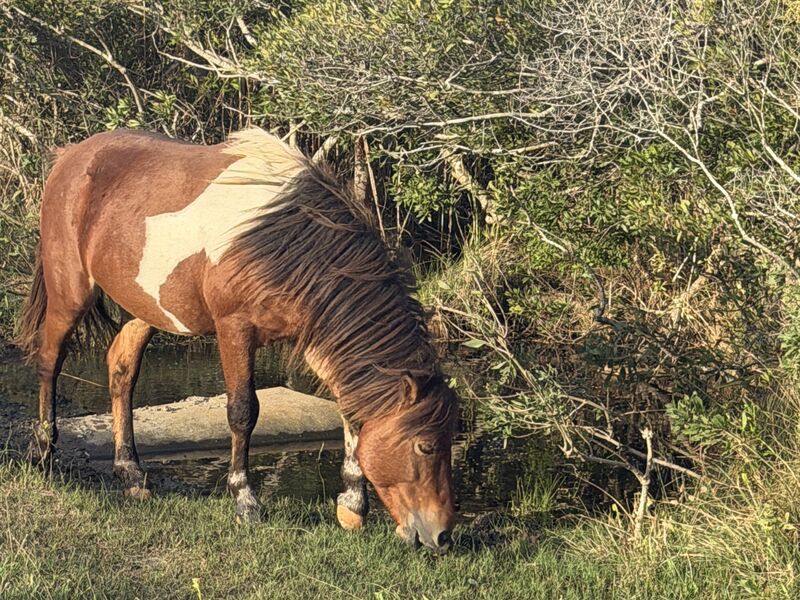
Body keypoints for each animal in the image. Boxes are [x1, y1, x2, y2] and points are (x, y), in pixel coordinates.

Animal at [15, 128, 458, 553]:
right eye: (425, 447)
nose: (441, 536)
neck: (283, 242)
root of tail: (70, 157)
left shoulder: (316, 336)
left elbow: (348, 410)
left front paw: (351, 505)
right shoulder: (235, 330)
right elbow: (243, 411)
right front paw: (245, 500)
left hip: (144, 308)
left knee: (121, 371)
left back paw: (131, 473)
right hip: (70, 292)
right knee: (50, 358)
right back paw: (43, 451)